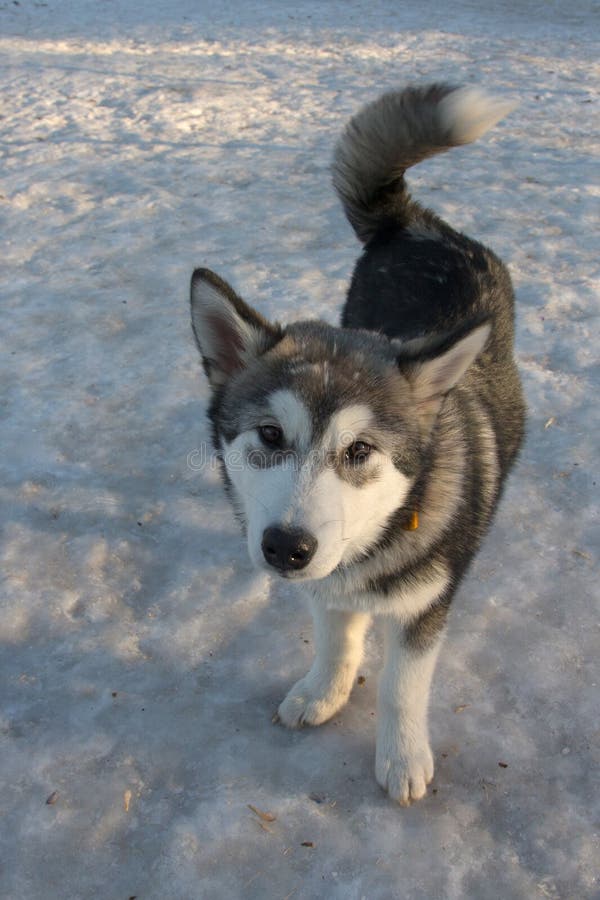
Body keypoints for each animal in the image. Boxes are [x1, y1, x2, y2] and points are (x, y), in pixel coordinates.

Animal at [189, 82, 524, 800]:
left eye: (360, 452)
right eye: (269, 434)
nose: (285, 548)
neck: (377, 537)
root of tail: (419, 225)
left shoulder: (427, 605)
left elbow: (402, 685)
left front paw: (401, 756)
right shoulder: (326, 581)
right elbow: (336, 640)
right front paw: (323, 692)